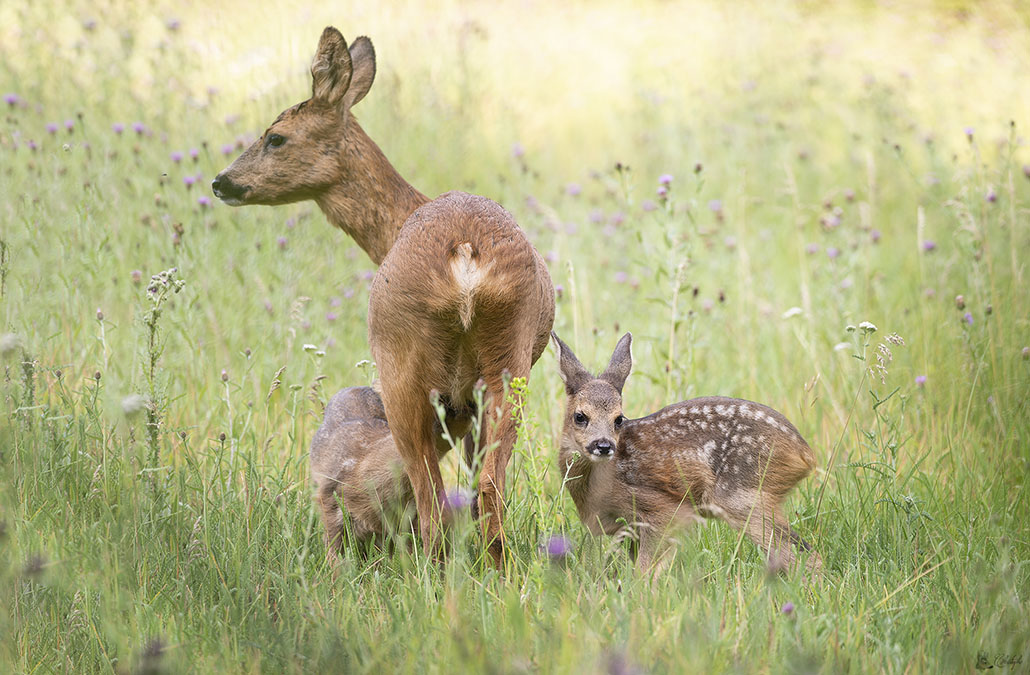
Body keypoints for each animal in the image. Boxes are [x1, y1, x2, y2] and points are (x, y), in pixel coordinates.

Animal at [213, 26, 556, 568]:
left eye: (275, 136)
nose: (221, 182)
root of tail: (464, 255)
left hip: (400, 359)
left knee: (430, 493)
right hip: (510, 358)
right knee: (489, 486)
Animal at [552, 331, 824, 577]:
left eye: (619, 419)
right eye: (580, 416)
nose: (604, 445)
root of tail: (805, 454)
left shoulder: (664, 509)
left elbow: (644, 572)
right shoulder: (628, 529)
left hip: (744, 496)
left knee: (804, 555)